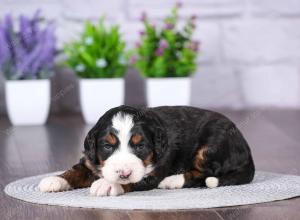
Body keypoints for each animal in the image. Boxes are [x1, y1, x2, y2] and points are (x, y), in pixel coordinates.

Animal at [38, 105, 254, 196]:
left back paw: (171, 181)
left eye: (140, 146)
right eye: (107, 146)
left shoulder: (151, 173)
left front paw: (106, 184)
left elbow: (131, 181)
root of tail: (246, 149)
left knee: (205, 174)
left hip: (210, 147)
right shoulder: (90, 160)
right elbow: (75, 170)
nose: (124, 172)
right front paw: (55, 180)